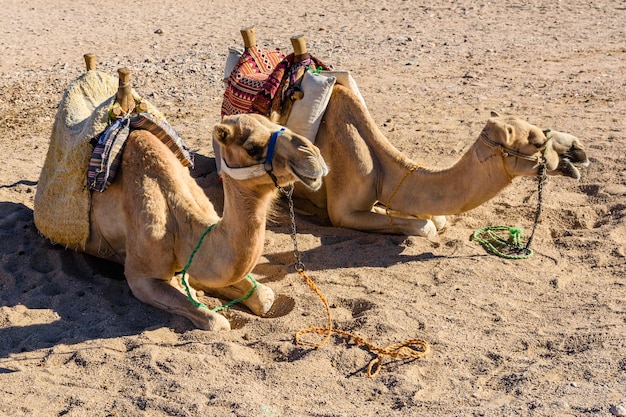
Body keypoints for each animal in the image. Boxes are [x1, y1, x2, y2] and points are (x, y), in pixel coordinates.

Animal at [35, 59, 326, 332]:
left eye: (280, 126)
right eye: (253, 148)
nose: (313, 158)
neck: (178, 219)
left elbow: (264, 295)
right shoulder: (140, 277)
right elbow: (216, 322)